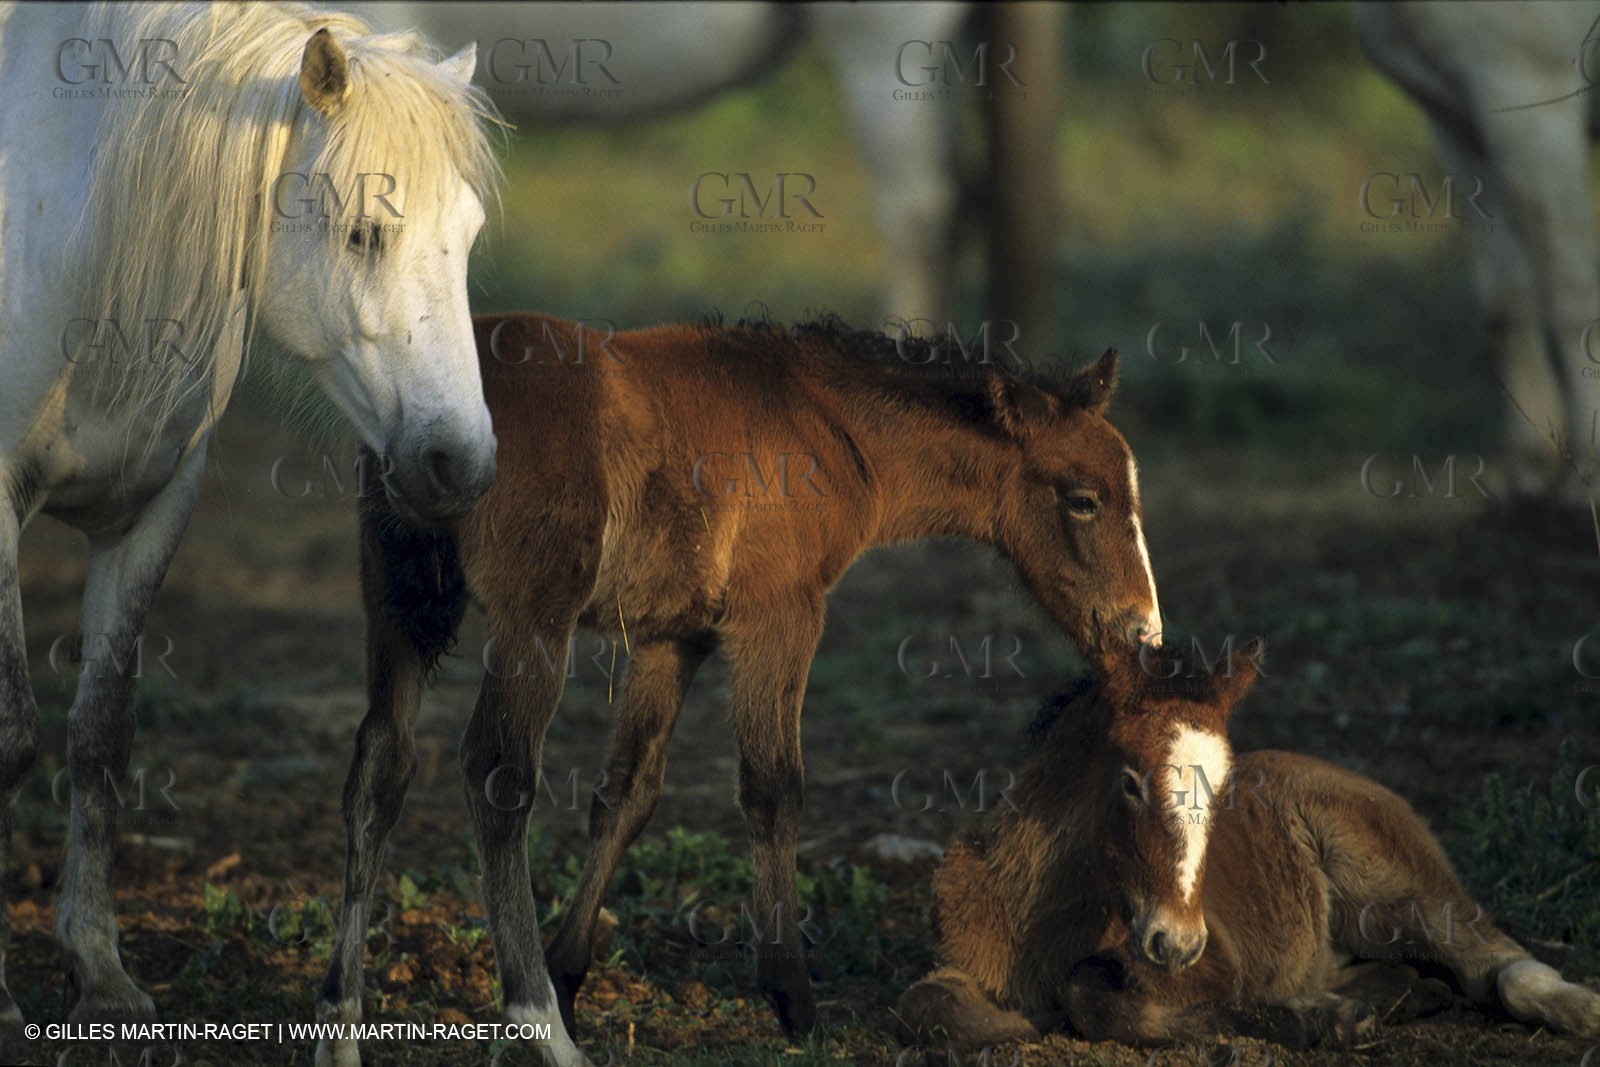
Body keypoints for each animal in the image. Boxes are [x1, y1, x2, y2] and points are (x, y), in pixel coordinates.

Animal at [0, 0, 500, 1056]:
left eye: (470, 237)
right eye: (362, 232)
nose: (462, 464)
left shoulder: (155, 509)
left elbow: (101, 734)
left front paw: (100, 974)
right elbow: (15, 734)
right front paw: (4, 1002)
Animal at [336, 311, 1163, 1057]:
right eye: (1083, 498)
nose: (1142, 633)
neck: (825, 424)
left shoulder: (673, 637)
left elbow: (626, 792)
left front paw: (569, 975)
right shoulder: (781, 614)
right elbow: (774, 789)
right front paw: (791, 994)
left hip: (400, 604)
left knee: (382, 764)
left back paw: (342, 1018)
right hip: (533, 617)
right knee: (498, 776)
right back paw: (534, 1022)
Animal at [897, 639, 1600, 1051]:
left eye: (1225, 789)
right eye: (1129, 781)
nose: (1176, 942)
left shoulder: (1214, 964)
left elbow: (1095, 995)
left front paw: (1320, 1025)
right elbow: (925, 1004)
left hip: (1395, 886)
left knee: (1496, 960)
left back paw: (1576, 1008)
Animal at [1358, 2, 1600, 500]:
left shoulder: (1536, 107)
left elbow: (1571, 300)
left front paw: (1586, 483)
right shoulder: (1461, 126)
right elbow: (1505, 302)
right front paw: (1529, 482)